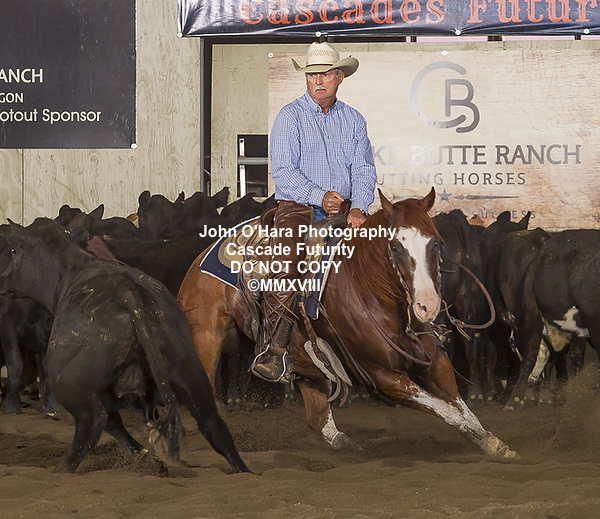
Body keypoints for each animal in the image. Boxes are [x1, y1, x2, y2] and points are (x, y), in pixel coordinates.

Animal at [1, 217, 250, 474]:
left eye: (13, 250)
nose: (3, 279)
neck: (69, 272)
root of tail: (130, 294)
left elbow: (109, 421)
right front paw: (141, 453)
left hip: (70, 384)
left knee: (92, 422)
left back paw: (62, 468)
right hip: (190, 371)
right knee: (212, 423)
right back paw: (243, 469)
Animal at [177, 188, 517, 459]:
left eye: (435, 243)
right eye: (396, 246)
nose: (427, 306)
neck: (374, 292)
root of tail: (199, 260)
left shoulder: (436, 361)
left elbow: (461, 407)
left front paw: (492, 442)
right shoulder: (383, 378)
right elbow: (445, 409)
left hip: (306, 362)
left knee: (318, 418)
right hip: (206, 338)